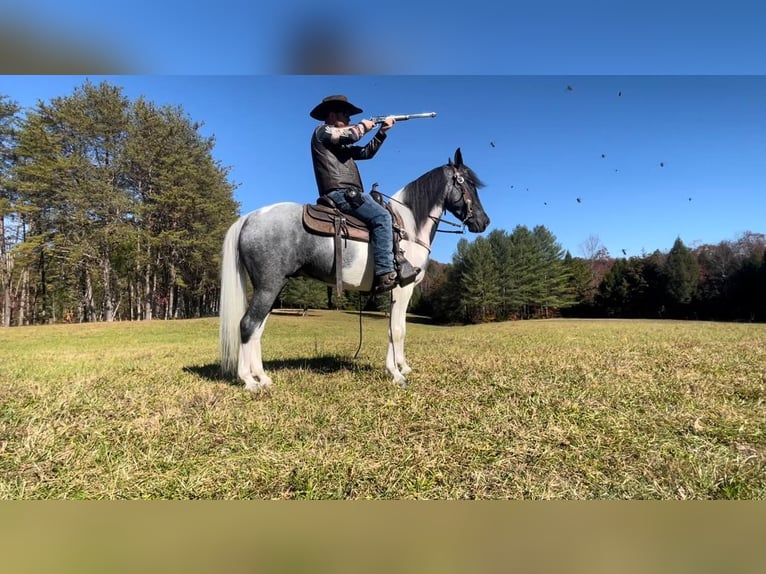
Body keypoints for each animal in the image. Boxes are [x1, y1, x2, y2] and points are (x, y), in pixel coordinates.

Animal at [218, 147, 492, 392]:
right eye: (466, 183)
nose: (484, 222)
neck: (409, 228)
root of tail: (249, 218)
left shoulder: (404, 291)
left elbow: (400, 328)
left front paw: (402, 367)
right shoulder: (402, 289)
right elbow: (396, 330)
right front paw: (396, 374)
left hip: (274, 287)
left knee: (258, 328)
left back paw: (263, 377)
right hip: (269, 285)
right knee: (247, 324)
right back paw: (249, 381)